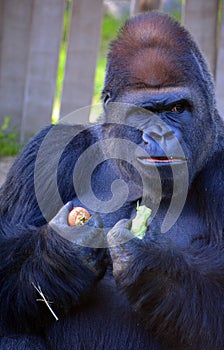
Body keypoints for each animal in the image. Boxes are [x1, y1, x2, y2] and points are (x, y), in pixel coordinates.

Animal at [0, 10, 224, 350]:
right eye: (145, 111)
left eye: (177, 108)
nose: (161, 134)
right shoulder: (48, 149)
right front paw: (63, 251)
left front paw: (148, 262)